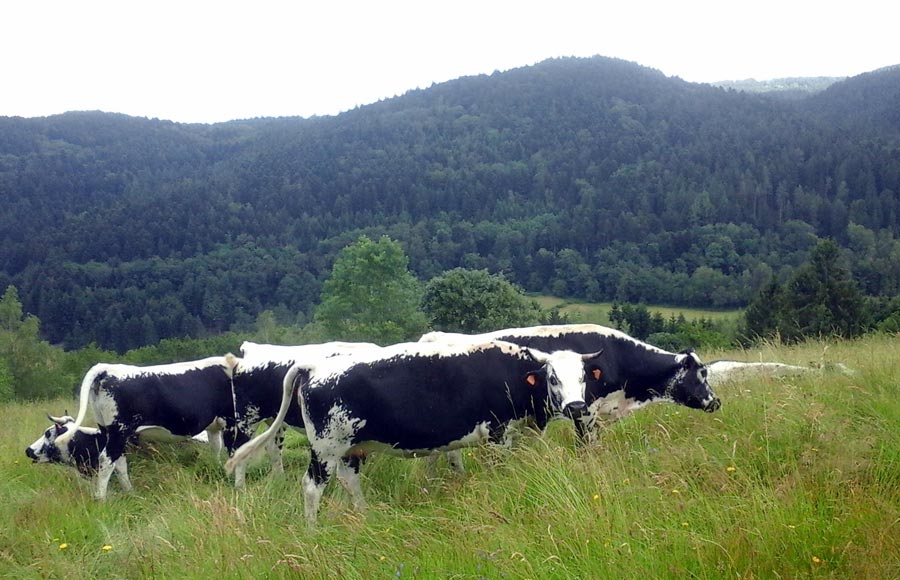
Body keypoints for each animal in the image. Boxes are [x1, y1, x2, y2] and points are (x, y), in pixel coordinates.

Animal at [44, 356, 239, 500]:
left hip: (109, 431)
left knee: (119, 462)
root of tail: (105, 368)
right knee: (107, 460)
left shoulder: (215, 426)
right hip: (118, 431)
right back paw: (101, 498)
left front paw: (218, 471)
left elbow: (216, 449)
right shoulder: (233, 423)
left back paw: (130, 492)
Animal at [230, 342, 378, 488]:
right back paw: (240, 487)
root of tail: (252, 347)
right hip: (247, 419)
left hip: (276, 421)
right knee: (239, 449)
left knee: (273, 448)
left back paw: (281, 481)